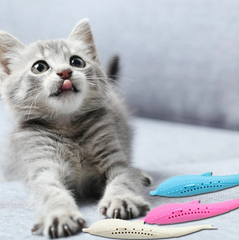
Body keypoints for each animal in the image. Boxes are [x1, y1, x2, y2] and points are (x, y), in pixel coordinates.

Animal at [0, 19, 152, 238]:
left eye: (77, 62)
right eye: (39, 67)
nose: (65, 72)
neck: (68, 127)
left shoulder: (114, 158)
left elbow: (124, 178)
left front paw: (121, 198)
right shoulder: (43, 169)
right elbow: (51, 191)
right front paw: (60, 214)